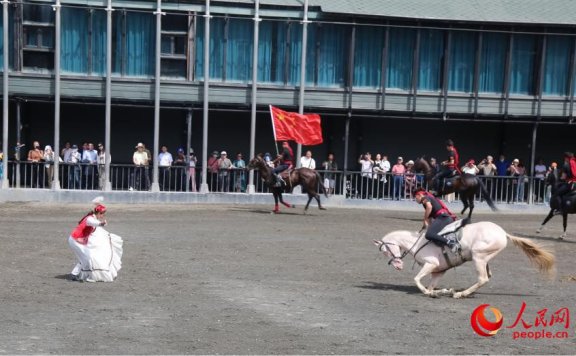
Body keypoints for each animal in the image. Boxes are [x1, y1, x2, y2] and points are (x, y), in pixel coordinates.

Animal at [374, 221, 552, 298]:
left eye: (384, 251)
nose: (398, 266)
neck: (416, 242)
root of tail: (503, 233)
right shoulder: (438, 271)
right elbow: (431, 286)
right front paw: (443, 291)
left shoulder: (431, 264)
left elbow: (417, 280)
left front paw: (432, 292)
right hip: (485, 259)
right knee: (487, 276)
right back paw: (461, 292)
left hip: (478, 256)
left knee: (483, 278)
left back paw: (461, 294)